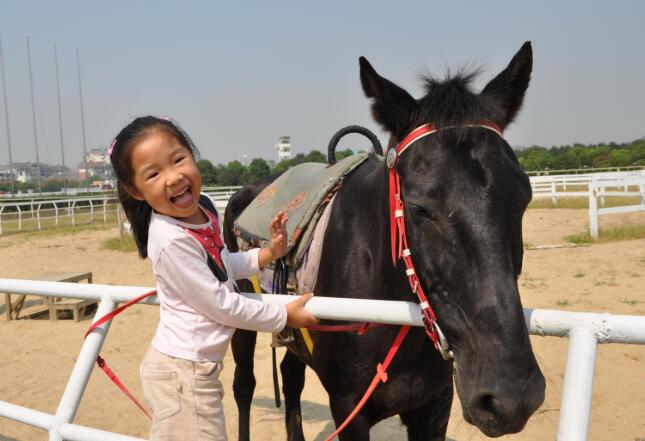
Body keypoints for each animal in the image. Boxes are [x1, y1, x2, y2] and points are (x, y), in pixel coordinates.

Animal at [225, 42, 544, 440]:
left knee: (290, 377)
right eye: (419, 207)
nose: (510, 395)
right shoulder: (349, 408)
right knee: (244, 385)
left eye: (523, 196)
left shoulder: (434, 407)